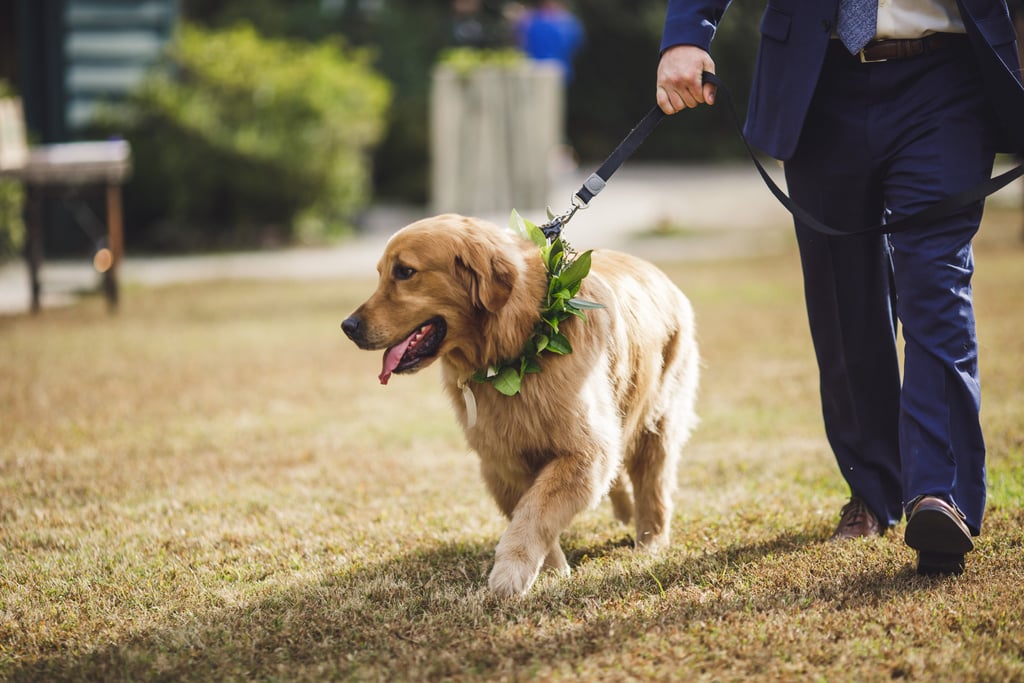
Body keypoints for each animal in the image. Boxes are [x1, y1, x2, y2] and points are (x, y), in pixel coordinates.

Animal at [339, 215, 700, 598]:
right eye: (381, 273)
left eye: (405, 271)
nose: (348, 326)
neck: (516, 347)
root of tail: (657, 272)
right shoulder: (502, 460)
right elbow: (528, 510)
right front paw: (551, 570)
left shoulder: (584, 452)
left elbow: (536, 511)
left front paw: (510, 571)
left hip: (658, 422)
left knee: (653, 484)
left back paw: (650, 542)